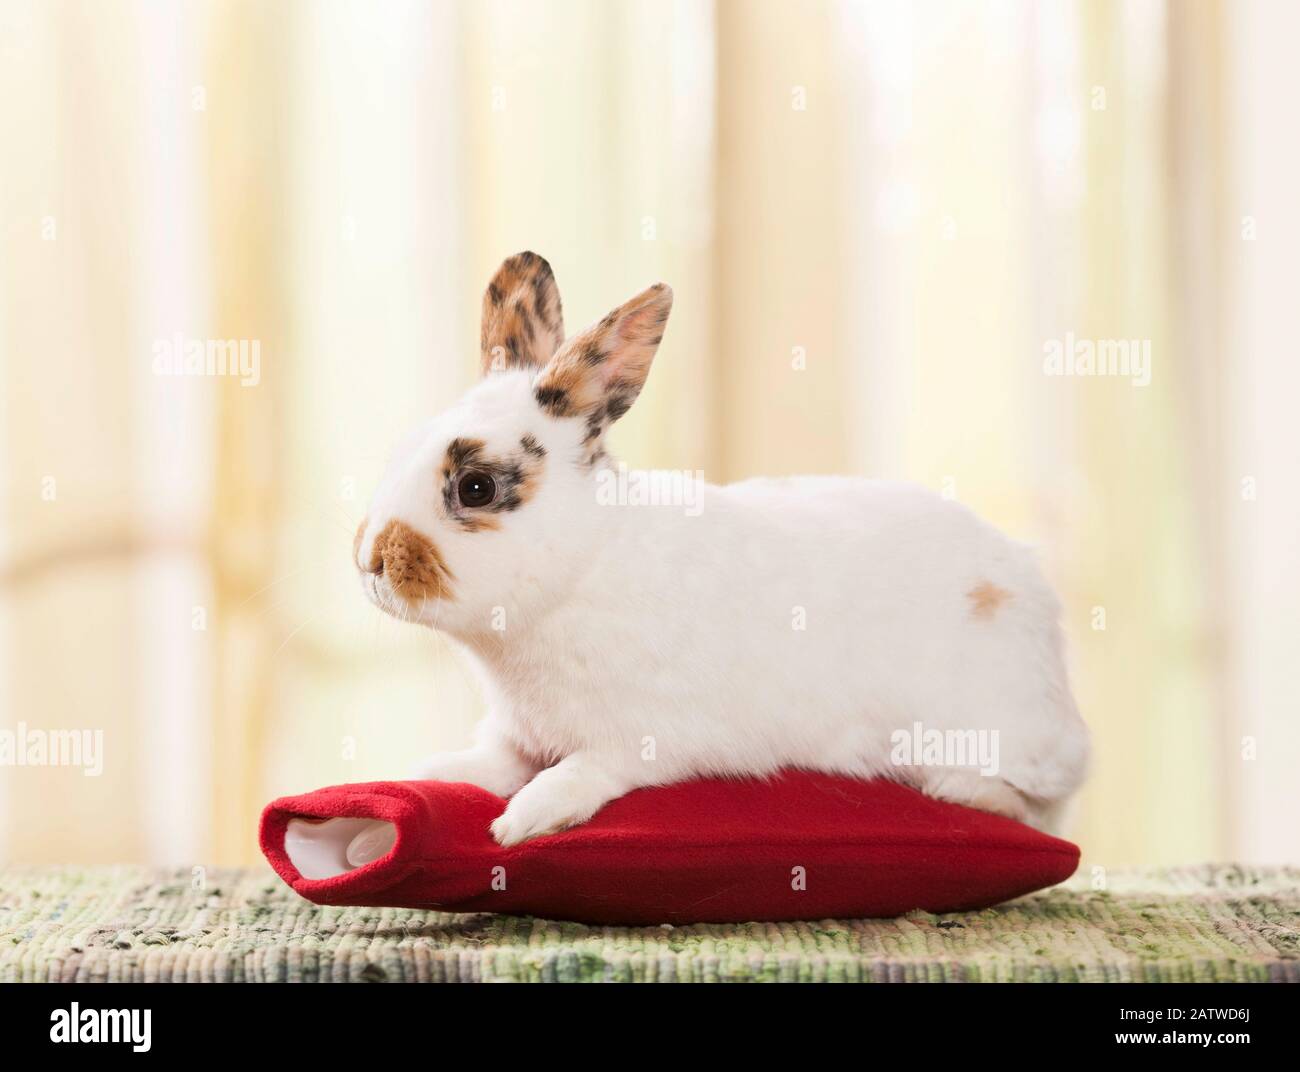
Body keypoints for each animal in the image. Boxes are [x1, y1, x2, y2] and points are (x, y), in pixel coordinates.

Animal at [353, 253, 1086, 847]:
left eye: (475, 487)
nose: (370, 561)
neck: (583, 565)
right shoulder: (518, 732)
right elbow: (495, 761)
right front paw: (436, 771)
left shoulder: (640, 740)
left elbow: (584, 772)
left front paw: (524, 821)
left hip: (994, 733)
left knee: (1039, 807)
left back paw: (958, 790)